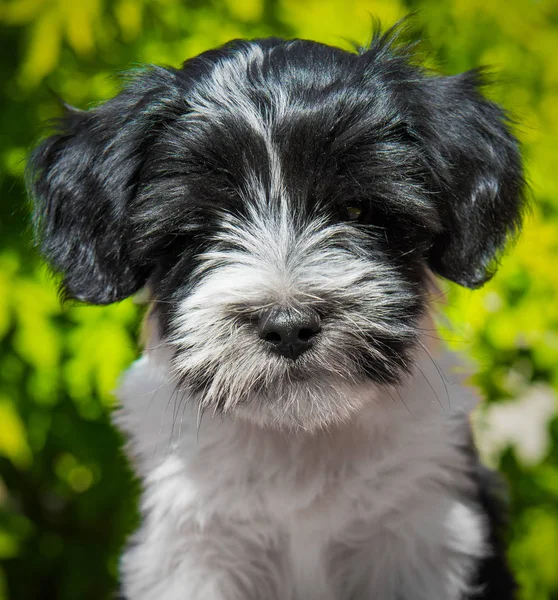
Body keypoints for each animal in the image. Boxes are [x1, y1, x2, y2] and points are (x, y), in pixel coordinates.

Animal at [28, 23, 528, 600]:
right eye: (201, 225)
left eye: (356, 210)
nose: (288, 326)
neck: (299, 438)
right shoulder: (192, 548)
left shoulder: (422, 532)